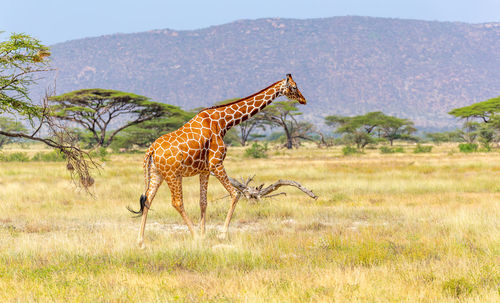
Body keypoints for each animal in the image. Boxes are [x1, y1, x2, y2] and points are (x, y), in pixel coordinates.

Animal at [129, 74, 306, 249]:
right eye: (294, 87)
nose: (303, 100)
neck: (223, 122)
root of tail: (151, 150)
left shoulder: (205, 170)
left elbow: (203, 202)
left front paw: (204, 235)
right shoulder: (216, 163)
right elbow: (235, 193)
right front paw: (220, 235)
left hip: (156, 173)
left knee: (148, 199)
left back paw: (141, 242)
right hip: (173, 174)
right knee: (177, 202)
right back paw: (193, 236)